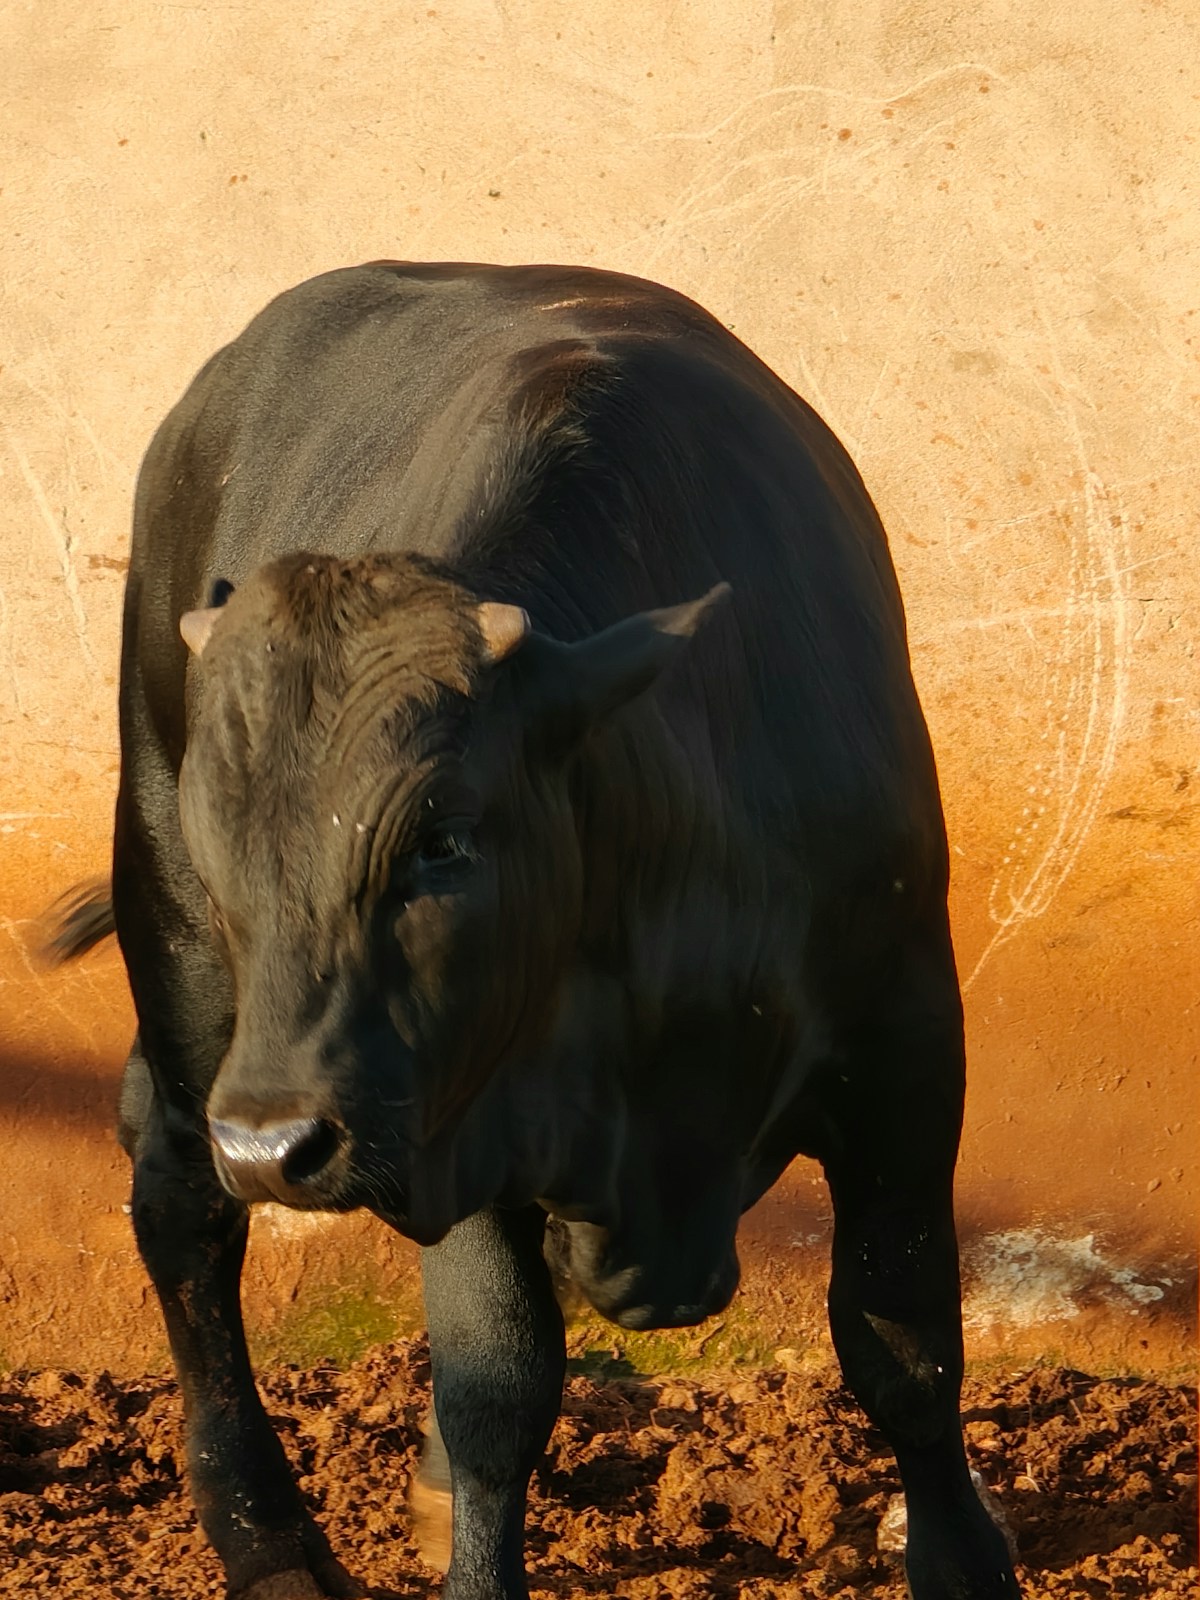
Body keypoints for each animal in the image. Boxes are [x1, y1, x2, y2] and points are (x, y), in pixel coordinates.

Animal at [47, 261, 1019, 1600]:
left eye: (443, 836)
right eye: (220, 833)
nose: (278, 1143)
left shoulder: (908, 1047)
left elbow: (903, 1335)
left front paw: (967, 1558)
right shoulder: (459, 1108)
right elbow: (496, 1383)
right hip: (192, 982)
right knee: (183, 1208)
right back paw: (269, 1536)